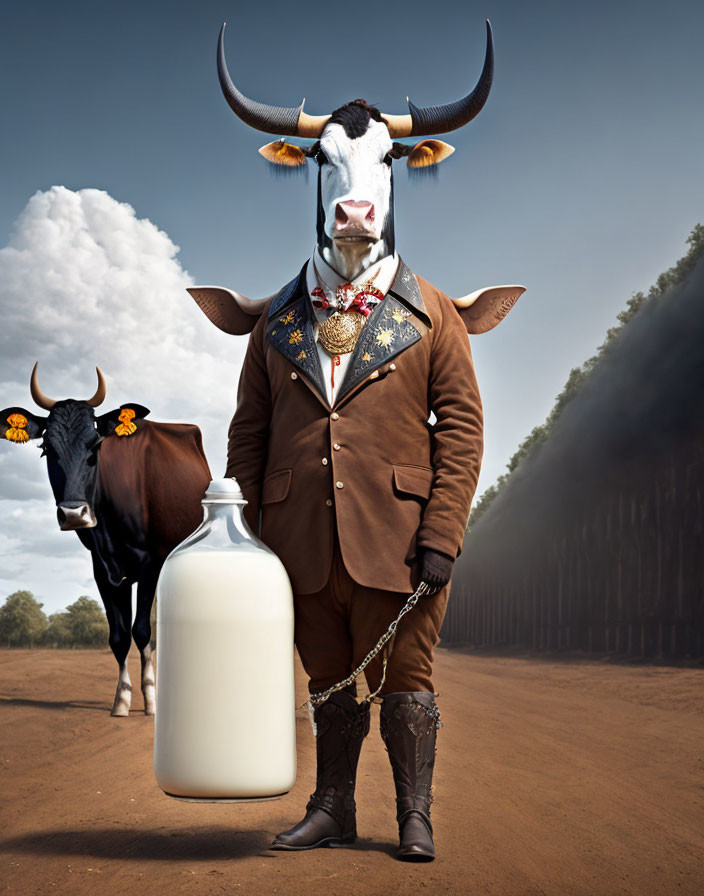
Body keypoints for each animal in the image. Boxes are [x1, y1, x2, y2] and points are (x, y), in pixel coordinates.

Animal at [1, 362, 210, 712]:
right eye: (46, 449)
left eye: (96, 447)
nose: (74, 514)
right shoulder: (102, 567)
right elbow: (119, 635)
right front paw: (122, 698)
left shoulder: (151, 563)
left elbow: (142, 630)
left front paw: (151, 698)